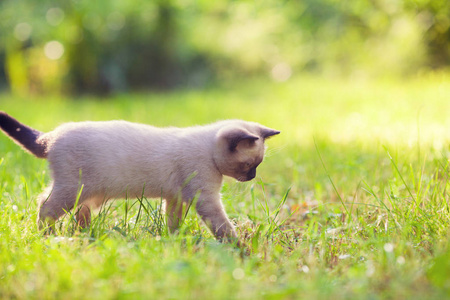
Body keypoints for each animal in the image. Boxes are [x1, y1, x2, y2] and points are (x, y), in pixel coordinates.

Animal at [0, 111, 280, 243]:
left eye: (257, 165)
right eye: (249, 165)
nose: (252, 176)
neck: (209, 150)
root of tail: (51, 136)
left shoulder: (175, 198)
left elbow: (173, 222)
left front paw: (175, 241)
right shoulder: (205, 198)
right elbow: (222, 226)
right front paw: (239, 248)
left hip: (88, 195)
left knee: (78, 215)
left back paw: (85, 236)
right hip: (71, 190)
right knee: (44, 206)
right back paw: (47, 237)